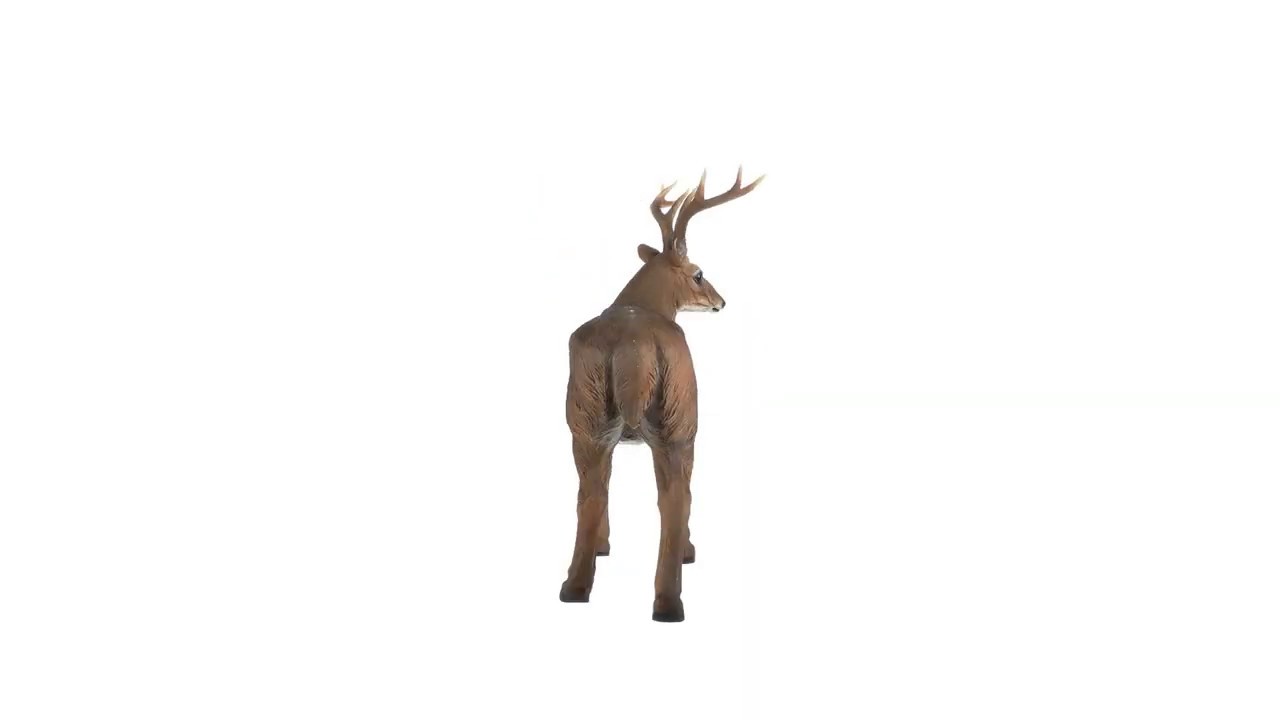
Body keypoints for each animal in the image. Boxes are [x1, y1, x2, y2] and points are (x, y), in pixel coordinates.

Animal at [559, 167, 764, 622]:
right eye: (699, 272)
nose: (721, 301)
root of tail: (633, 350)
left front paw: (604, 546)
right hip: (680, 419)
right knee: (674, 499)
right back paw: (669, 602)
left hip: (583, 417)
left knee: (590, 493)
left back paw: (575, 587)